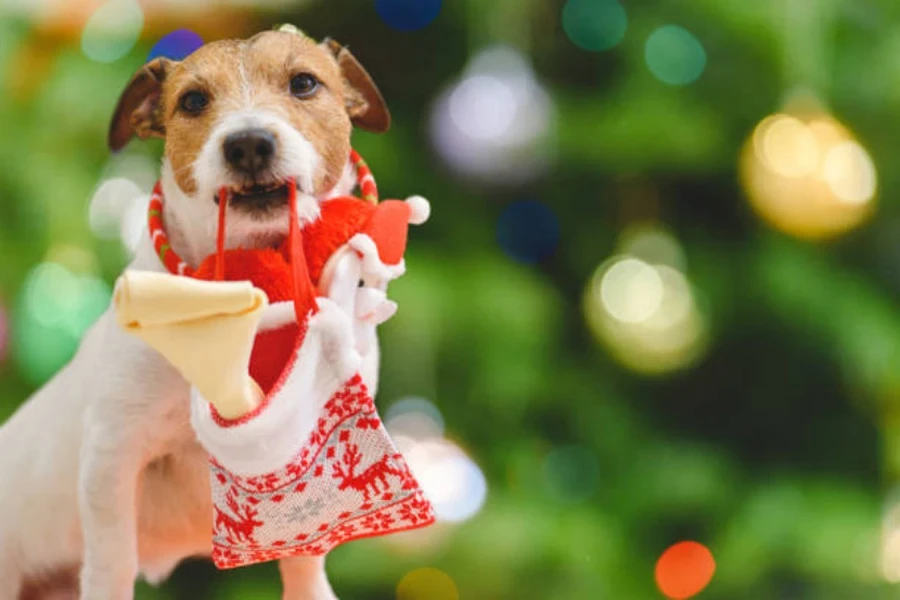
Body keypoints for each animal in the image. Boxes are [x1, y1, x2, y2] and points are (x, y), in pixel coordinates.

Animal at [0, 28, 394, 600]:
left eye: (304, 83)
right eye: (191, 101)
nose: (249, 143)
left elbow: (307, 551)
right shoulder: (112, 455)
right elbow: (112, 559)